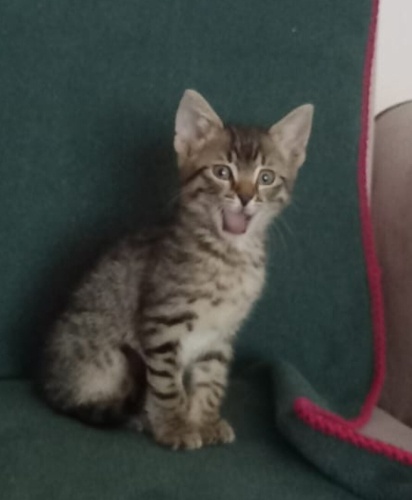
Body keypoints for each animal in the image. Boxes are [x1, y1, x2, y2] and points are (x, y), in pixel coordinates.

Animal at [39, 90, 313, 450]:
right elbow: (168, 385)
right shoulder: (162, 325)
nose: (245, 197)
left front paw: (204, 421)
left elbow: (212, 381)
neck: (229, 258)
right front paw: (175, 426)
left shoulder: (220, 336)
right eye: (222, 172)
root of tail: (48, 382)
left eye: (265, 178)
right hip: (101, 357)